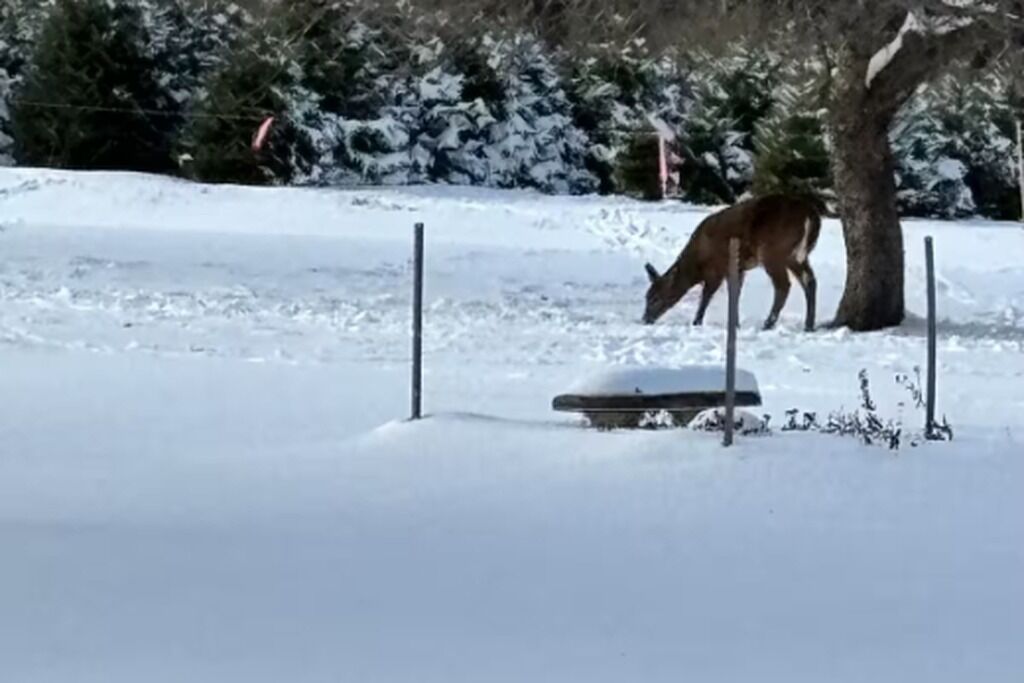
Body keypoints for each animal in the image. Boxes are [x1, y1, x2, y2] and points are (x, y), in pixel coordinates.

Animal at [642, 193, 822, 331]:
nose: (645, 319)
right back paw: (808, 325)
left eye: (655, 298)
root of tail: (811, 216)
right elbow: (734, 294)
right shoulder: (737, 269)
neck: (697, 263)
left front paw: (697, 322)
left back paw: (768, 324)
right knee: (810, 281)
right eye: (646, 296)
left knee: (784, 285)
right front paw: (736, 324)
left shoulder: (718, 267)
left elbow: (707, 295)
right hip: (796, 256)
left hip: (773, 252)